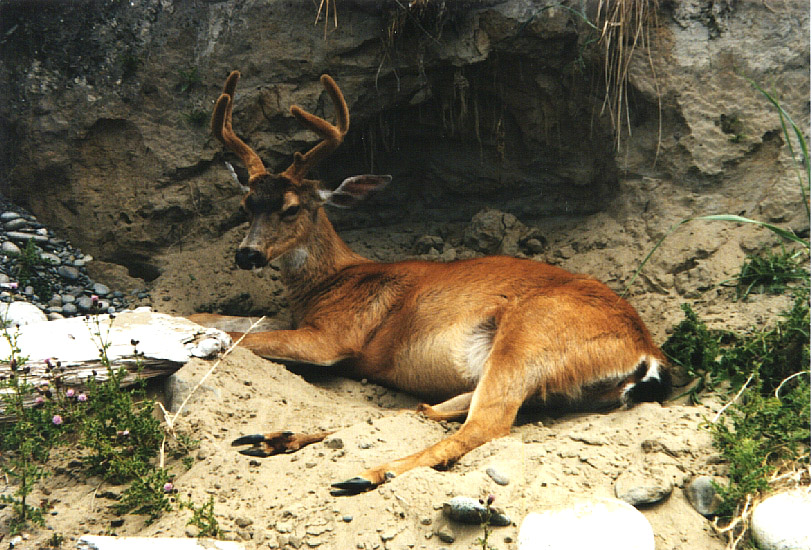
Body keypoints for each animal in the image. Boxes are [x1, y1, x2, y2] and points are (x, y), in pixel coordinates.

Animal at [202, 70, 671, 495]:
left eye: (291, 208)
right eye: (246, 205)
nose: (247, 254)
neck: (331, 282)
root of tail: (647, 352)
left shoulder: (334, 337)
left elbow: (241, 337)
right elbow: (216, 316)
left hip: (530, 335)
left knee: (483, 424)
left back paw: (367, 473)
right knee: (431, 411)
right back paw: (272, 439)